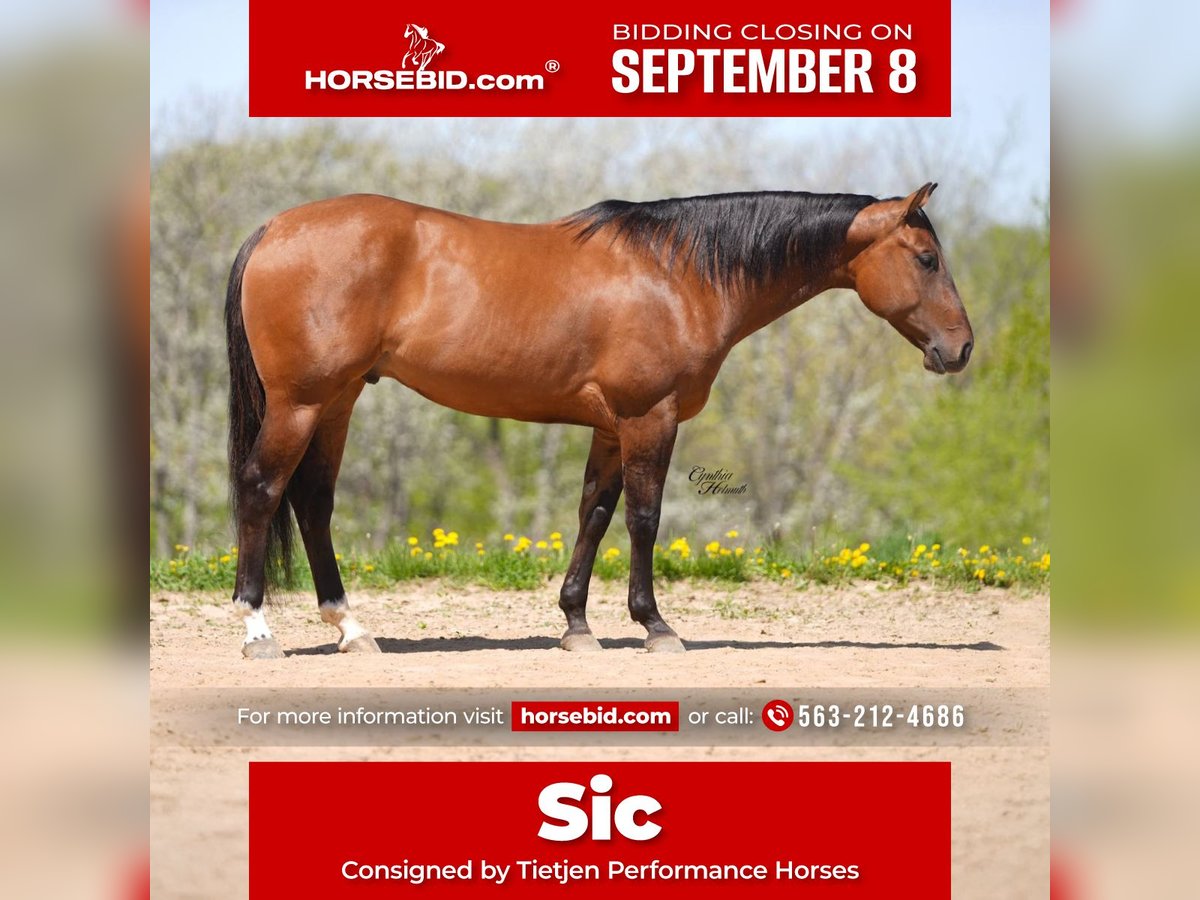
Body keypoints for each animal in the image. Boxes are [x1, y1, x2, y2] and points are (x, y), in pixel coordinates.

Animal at [224, 184, 973, 659]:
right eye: (927, 258)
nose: (961, 349)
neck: (678, 274)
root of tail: (274, 229)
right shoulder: (650, 419)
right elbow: (643, 518)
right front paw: (656, 626)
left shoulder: (612, 427)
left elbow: (594, 512)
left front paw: (577, 625)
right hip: (301, 402)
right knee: (262, 489)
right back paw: (258, 630)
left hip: (339, 400)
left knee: (313, 503)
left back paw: (350, 629)